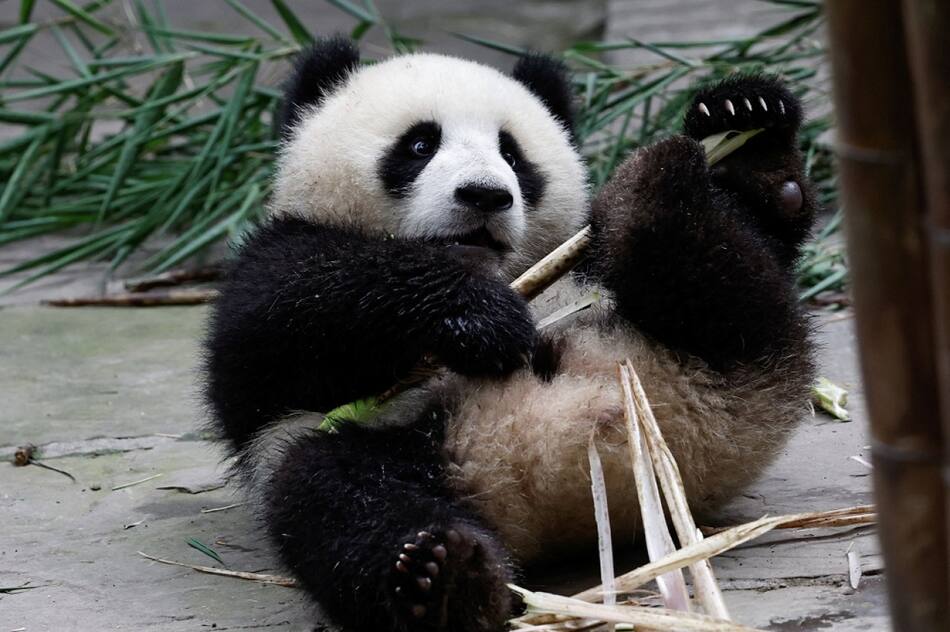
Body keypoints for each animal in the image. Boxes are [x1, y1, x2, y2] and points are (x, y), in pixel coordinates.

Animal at [203, 35, 816, 632]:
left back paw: (671, 179)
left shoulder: (577, 258)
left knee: (730, 286)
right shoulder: (268, 289)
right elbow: (288, 317)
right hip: (391, 442)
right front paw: (476, 314)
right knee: (338, 496)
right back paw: (444, 579)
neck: (498, 269)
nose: (484, 195)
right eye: (420, 145)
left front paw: (746, 119)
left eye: (513, 155)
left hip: (706, 363)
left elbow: (772, 235)